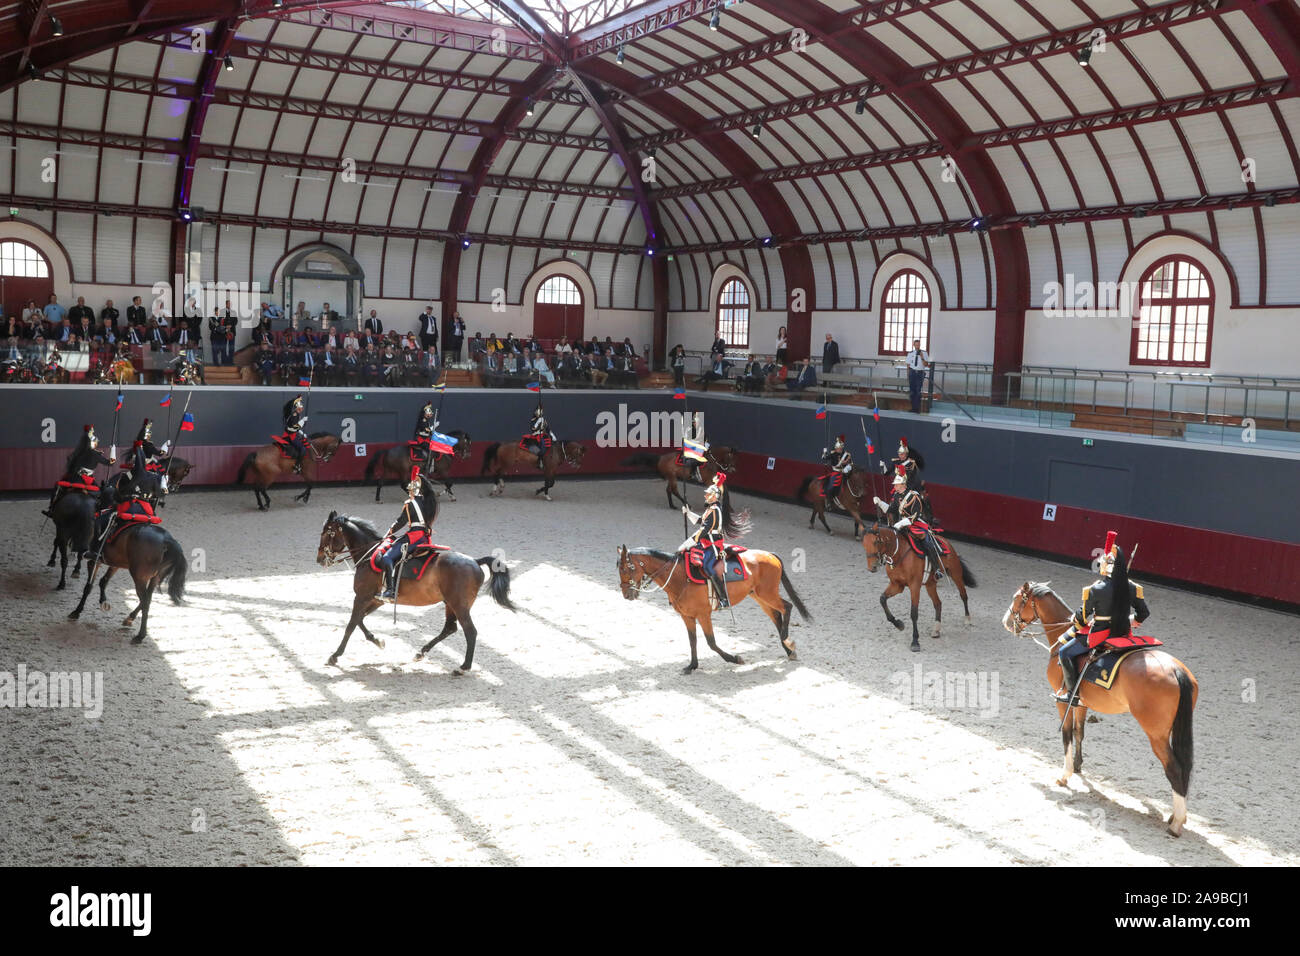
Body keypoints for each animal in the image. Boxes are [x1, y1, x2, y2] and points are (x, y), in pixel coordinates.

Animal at [317, 509, 514, 671]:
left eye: (327, 533)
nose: (319, 558)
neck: (370, 554)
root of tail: (475, 561)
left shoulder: (361, 596)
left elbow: (351, 624)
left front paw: (335, 656)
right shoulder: (375, 599)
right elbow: (360, 620)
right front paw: (378, 641)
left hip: (459, 605)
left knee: (470, 631)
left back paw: (464, 666)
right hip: (450, 603)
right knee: (450, 628)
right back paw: (421, 652)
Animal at [613, 541, 806, 676]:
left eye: (626, 569)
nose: (626, 594)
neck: (679, 577)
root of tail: (770, 555)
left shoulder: (703, 614)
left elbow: (711, 642)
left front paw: (735, 658)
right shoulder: (687, 616)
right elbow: (693, 641)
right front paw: (692, 666)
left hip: (768, 594)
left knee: (787, 607)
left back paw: (787, 640)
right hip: (760, 597)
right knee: (777, 616)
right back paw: (789, 649)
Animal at [863, 522, 977, 650]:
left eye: (876, 542)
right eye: (864, 543)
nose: (872, 567)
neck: (899, 553)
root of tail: (946, 542)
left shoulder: (914, 586)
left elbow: (914, 612)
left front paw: (915, 641)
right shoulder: (897, 585)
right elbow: (882, 599)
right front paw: (898, 624)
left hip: (956, 574)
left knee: (963, 595)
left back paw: (967, 619)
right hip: (930, 584)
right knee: (938, 603)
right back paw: (936, 630)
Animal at [1003, 580, 1196, 832]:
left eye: (1017, 599)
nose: (1006, 622)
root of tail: (1175, 670)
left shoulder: (1062, 702)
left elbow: (1066, 734)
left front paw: (1065, 775)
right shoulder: (1081, 703)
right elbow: (1079, 732)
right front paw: (1077, 766)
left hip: (1157, 734)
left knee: (1174, 768)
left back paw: (1176, 823)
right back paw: (1175, 816)